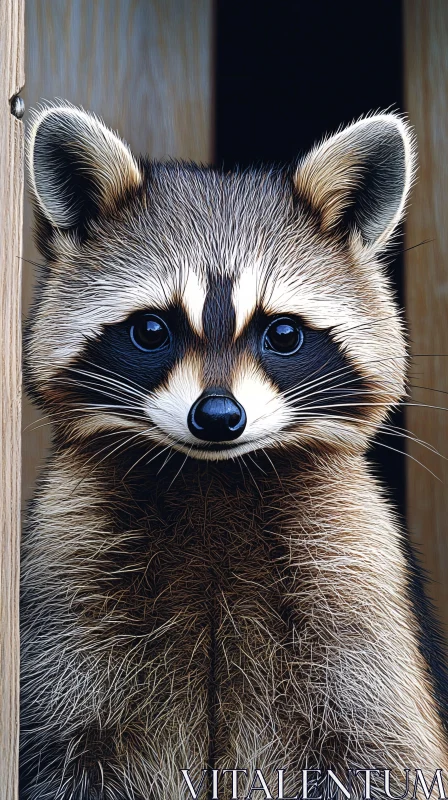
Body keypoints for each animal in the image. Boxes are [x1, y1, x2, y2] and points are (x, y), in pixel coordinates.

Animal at [20, 103, 448, 796]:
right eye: (151, 329)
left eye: (282, 333)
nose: (218, 417)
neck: (213, 477)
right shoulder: (69, 575)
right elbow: (65, 746)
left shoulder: (356, 580)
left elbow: (378, 746)